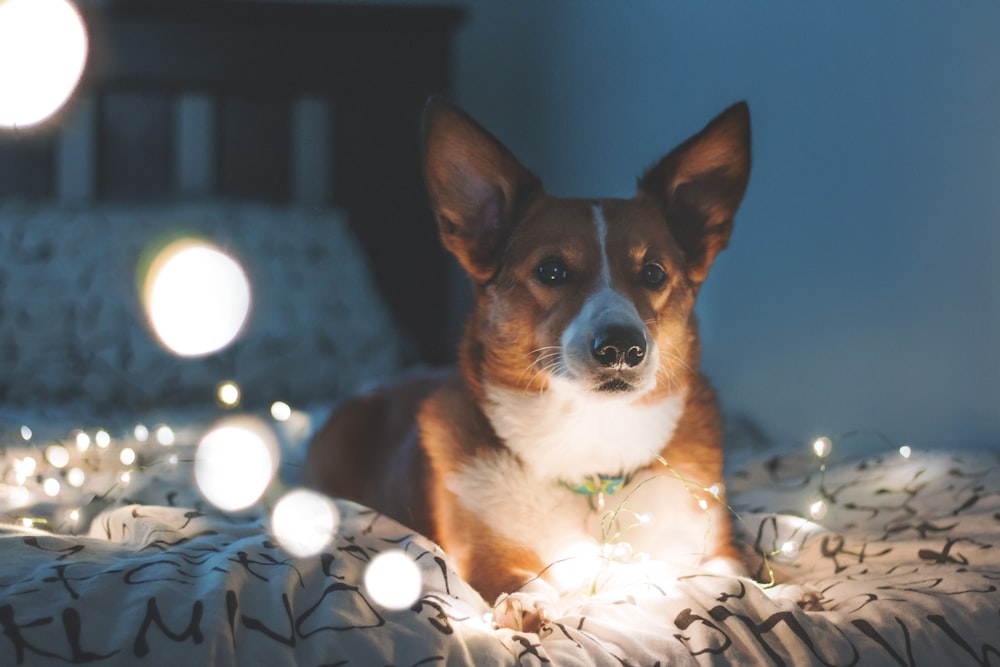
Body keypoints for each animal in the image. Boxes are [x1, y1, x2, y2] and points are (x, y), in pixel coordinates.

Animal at [304, 98, 752, 632]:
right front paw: (530, 604)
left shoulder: (715, 545)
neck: (592, 446)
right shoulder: (484, 550)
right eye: (551, 271)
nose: (621, 348)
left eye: (653, 273)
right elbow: (521, 575)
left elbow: (728, 578)